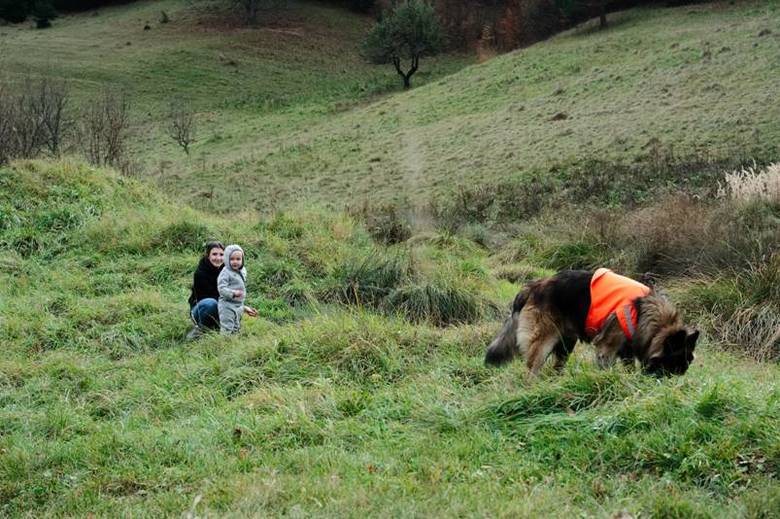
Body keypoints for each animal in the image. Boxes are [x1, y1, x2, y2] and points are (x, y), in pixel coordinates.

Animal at [488, 270, 700, 376]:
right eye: (675, 361)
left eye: (688, 361)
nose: (681, 377)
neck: (642, 311)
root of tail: (531, 287)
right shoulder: (606, 347)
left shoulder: (626, 349)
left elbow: (629, 366)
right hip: (543, 342)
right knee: (532, 369)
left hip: (566, 343)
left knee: (557, 367)